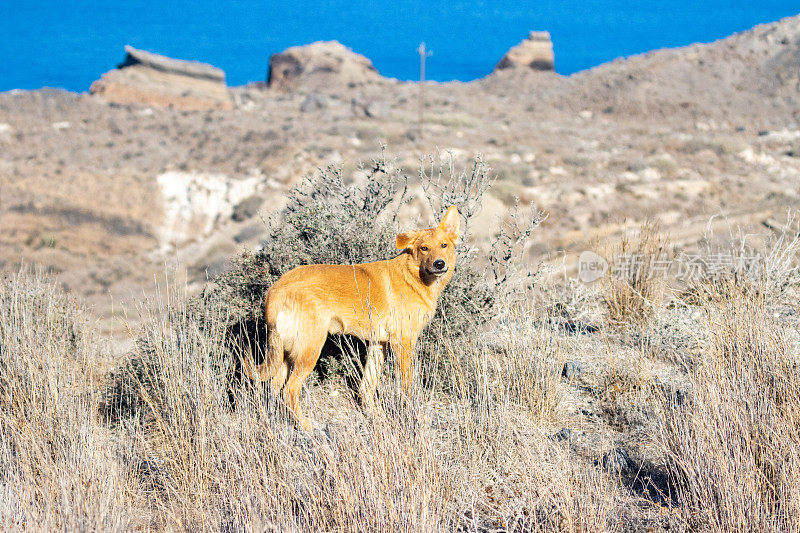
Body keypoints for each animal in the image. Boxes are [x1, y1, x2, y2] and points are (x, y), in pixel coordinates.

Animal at [247, 206, 460, 430]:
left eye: (444, 245)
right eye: (424, 248)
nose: (439, 264)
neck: (414, 276)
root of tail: (276, 289)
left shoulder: (379, 344)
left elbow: (367, 386)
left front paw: (375, 415)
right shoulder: (403, 343)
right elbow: (407, 387)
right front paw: (413, 416)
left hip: (286, 354)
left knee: (273, 389)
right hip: (309, 351)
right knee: (290, 390)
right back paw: (305, 425)